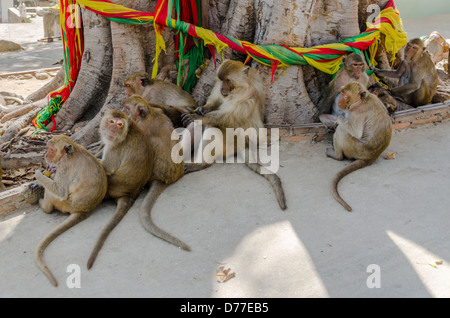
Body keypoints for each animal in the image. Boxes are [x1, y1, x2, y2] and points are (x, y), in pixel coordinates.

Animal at [34, 135, 107, 286]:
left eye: (51, 149)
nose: (46, 155)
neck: (71, 151)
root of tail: (84, 210)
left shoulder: (64, 166)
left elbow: (60, 191)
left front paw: (38, 175)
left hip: (65, 204)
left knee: (55, 193)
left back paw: (45, 207)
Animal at [87, 109, 154, 268]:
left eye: (119, 124)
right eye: (111, 122)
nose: (113, 130)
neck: (126, 133)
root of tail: (131, 194)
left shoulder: (114, 147)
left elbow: (106, 167)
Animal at [178, 60, 284, 211]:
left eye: (228, 80)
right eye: (221, 80)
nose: (223, 87)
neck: (240, 86)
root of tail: (244, 144)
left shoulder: (247, 93)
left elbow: (226, 116)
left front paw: (196, 116)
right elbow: (216, 101)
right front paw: (201, 109)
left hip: (231, 143)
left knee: (211, 128)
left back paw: (201, 163)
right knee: (198, 127)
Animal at [326, 81, 392, 211]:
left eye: (346, 96)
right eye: (342, 93)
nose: (339, 100)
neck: (361, 100)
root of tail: (371, 157)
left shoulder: (357, 112)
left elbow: (355, 131)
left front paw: (338, 119)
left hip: (356, 149)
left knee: (342, 131)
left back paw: (337, 155)